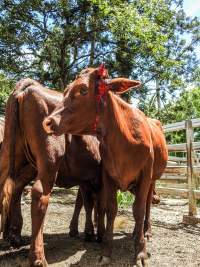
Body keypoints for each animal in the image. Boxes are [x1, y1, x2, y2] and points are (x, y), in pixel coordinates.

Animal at [0, 80, 101, 267]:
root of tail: (29, 86)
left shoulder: (84, 179)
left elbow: (83, 202)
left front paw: (80, 230)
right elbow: (94, 203)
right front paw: (94, 232)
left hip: (14, 156)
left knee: (12, 188)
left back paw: (15, 237)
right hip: (49, 161)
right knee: (39, 194)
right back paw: (38, 258)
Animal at [44, 65, 169, 267]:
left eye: (83, 90)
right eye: (65, 91)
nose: (48, 122)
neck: (123, 140)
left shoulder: (144, 176)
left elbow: (138, 209)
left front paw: (140, 252)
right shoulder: (107, 176)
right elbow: (110, 209)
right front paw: (106, 251)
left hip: (152, 180)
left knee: (148, 205)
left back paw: (146, 231)